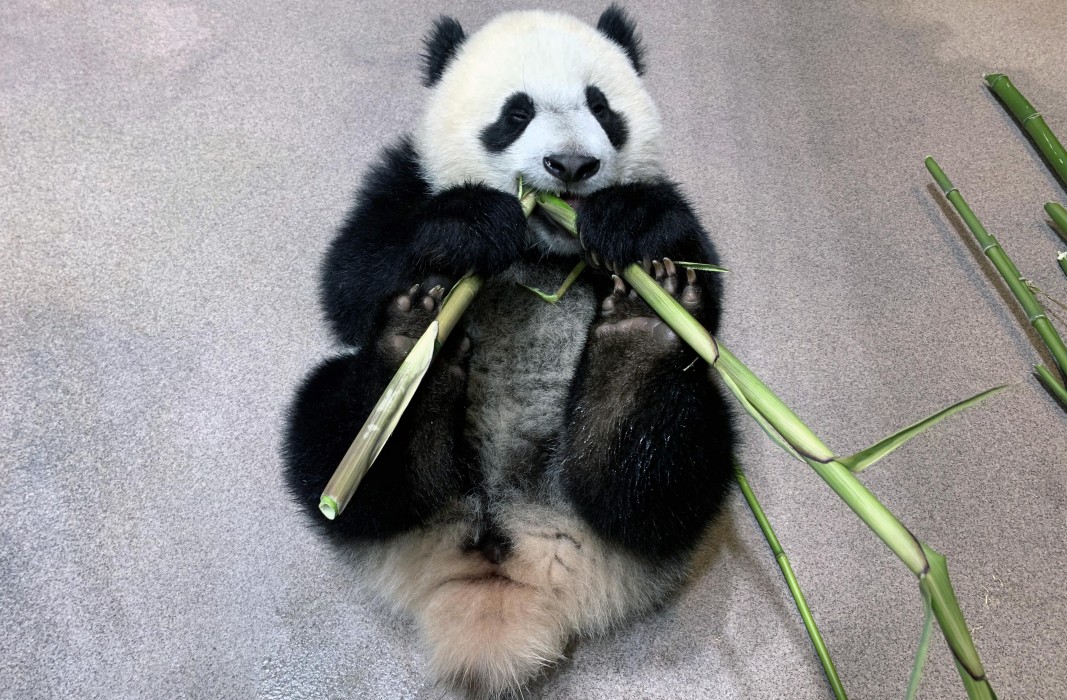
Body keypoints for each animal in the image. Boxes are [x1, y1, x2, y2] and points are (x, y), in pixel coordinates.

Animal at [279, 4, 738, 695]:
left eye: (601, 107)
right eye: (515, 114)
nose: (571, 166)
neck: (544, 247)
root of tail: (507, 569)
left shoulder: (668, 201)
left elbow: (701, 284)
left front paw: (628, 222)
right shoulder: (407, 176)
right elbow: (351, 276)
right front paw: (470, 226)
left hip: (644, 485)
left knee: (670, 469)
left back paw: (636, 349)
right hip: (373, 471)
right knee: (331, 428)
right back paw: (418, 342)